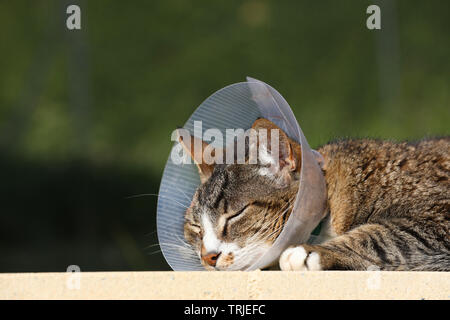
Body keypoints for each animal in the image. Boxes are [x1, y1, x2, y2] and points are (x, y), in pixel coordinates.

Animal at [180, 119, 450, 272]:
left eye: (235, 215)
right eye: (195, 227)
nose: (208, 257)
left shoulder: (439, 213)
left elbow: (382, 235)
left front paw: (313, 252)